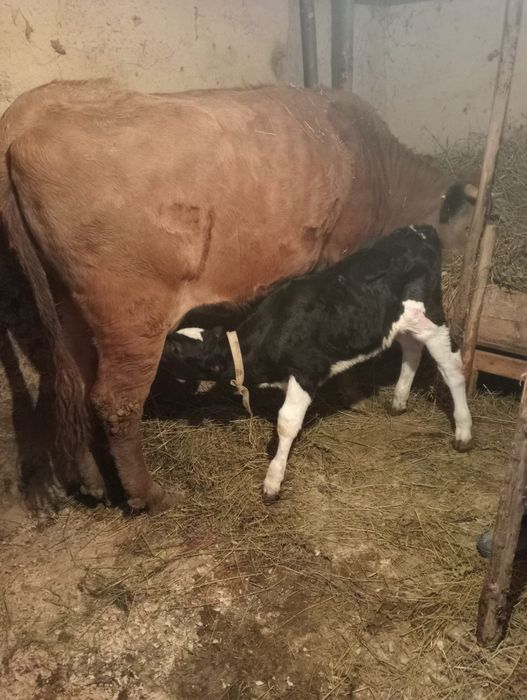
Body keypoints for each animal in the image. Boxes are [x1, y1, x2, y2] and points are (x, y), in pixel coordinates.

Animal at [162, 224, 472, 500]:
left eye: (175, 350)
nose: (158, 343)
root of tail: (420, 230)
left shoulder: (306, 371)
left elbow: (286, 422)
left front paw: (273, 481)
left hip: (431, 315)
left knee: (452, 367)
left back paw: (463, 432)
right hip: (402, 322)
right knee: (411, 349)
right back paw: (399, 401)